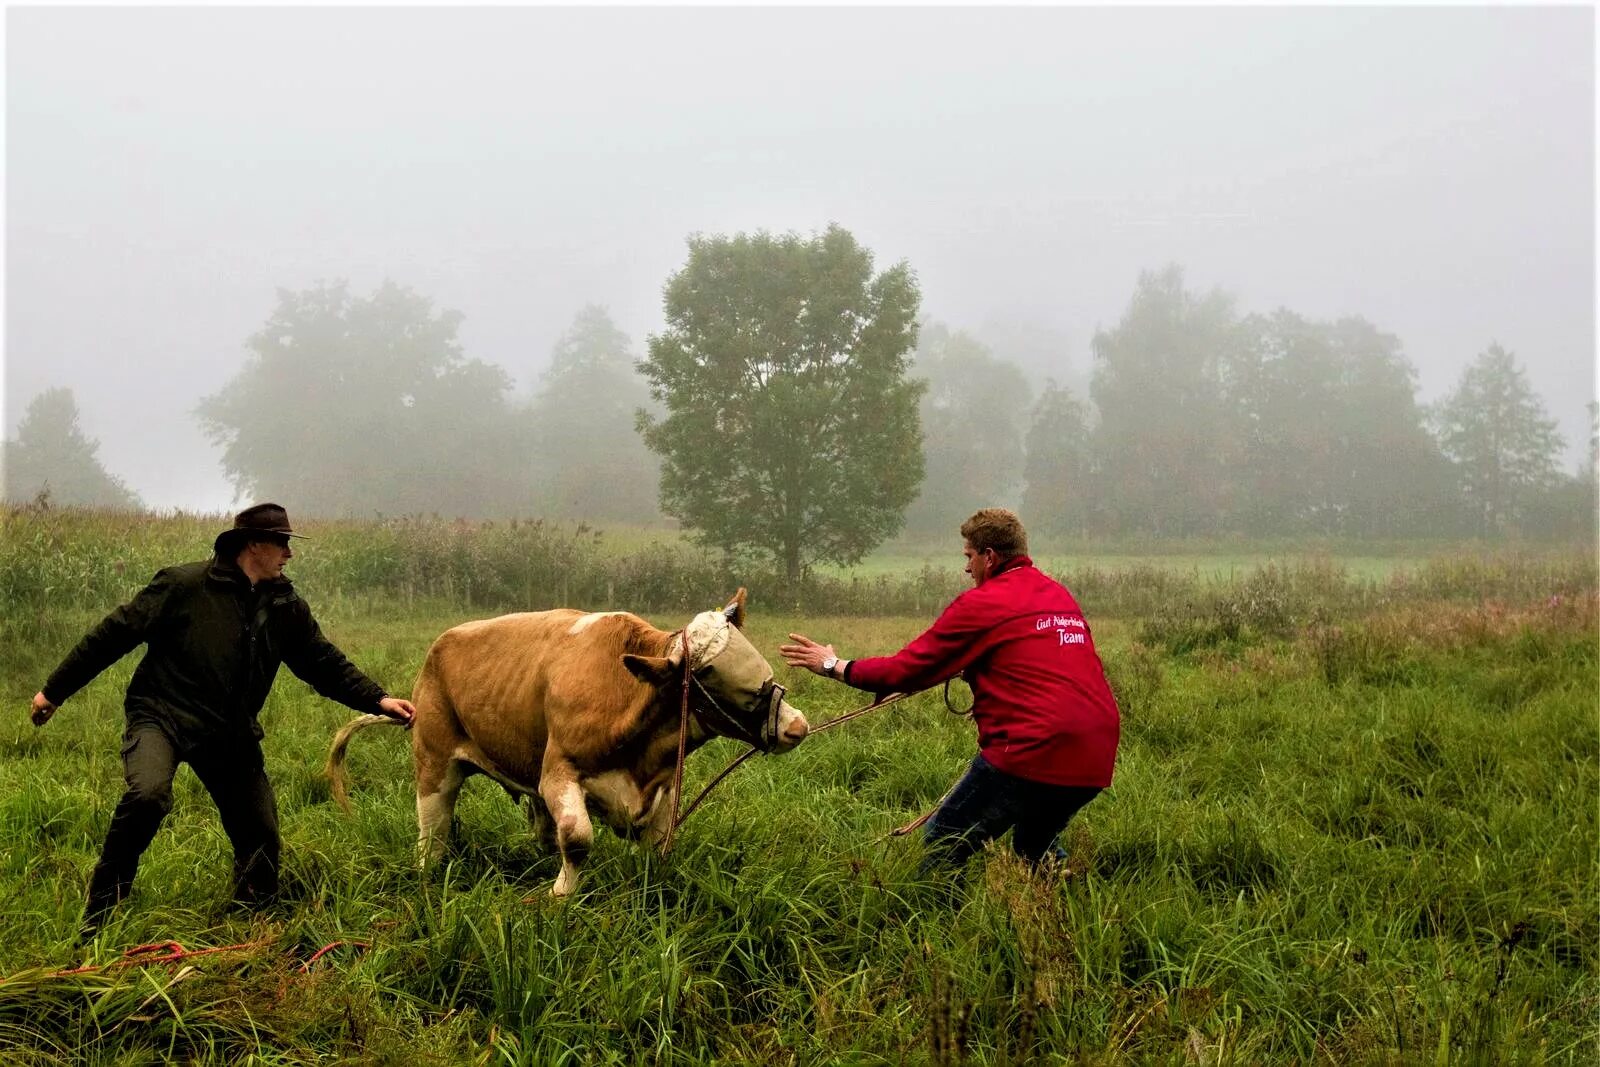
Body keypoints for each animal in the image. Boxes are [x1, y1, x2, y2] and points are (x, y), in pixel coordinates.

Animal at [324, 588, 806, 895]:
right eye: (709, 674)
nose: (797, 727)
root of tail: (442, 642)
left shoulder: (664, 786)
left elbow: (653, 847)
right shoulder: (558, 772)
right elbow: (577, 839)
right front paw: (560, 895)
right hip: (434, 758)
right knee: (433, 825)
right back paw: (427, 872)